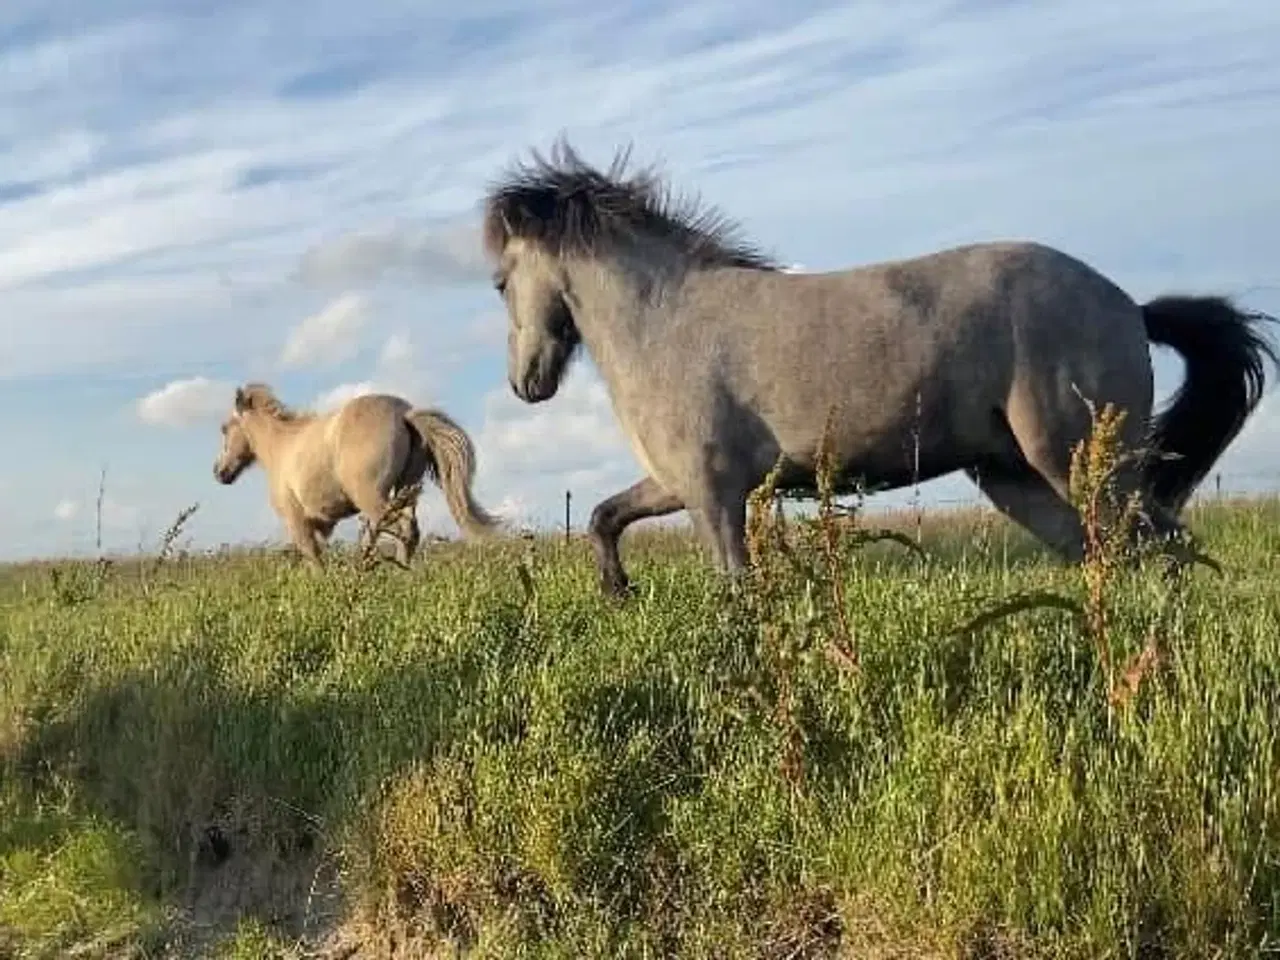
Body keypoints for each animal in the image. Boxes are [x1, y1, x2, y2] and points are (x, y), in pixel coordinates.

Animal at [478, 140, 1269, 599]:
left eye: (498, 282)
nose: (526, 384)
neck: (667, 322)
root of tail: (1131, 306)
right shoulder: (682, 484)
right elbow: (605, 517)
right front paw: (618, 591)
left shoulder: (714, 496)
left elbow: (738, 593)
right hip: (1020, 480)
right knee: (1110, 555)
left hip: (1082, 464)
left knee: (1165, 546)